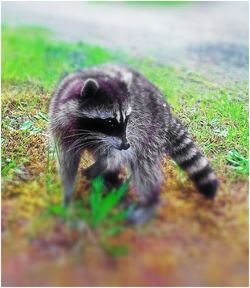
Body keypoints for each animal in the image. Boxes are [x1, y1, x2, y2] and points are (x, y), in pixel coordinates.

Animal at [48, 64, 219, 224]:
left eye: (127, 119)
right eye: (109, 122)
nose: (125, 145)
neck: (90, 132)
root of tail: (167, 113)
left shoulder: (131, 130)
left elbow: (117, 156)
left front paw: (104, 166)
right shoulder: (62, 127)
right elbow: (67, 163)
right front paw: (68, 196)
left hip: (151, 131)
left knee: (144, 169)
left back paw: (149, 200)